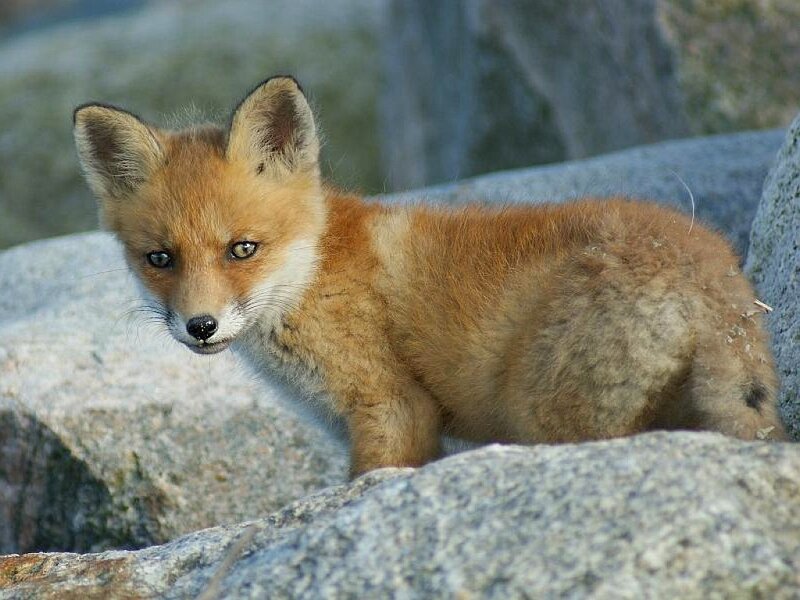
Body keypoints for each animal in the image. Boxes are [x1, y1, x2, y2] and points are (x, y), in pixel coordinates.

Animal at [73, 76, 788, 477]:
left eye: (242, 249)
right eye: (160, 259)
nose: (200, 326)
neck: (314, 270)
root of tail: (715, 278)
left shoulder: (394, 409)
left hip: (544, 414)